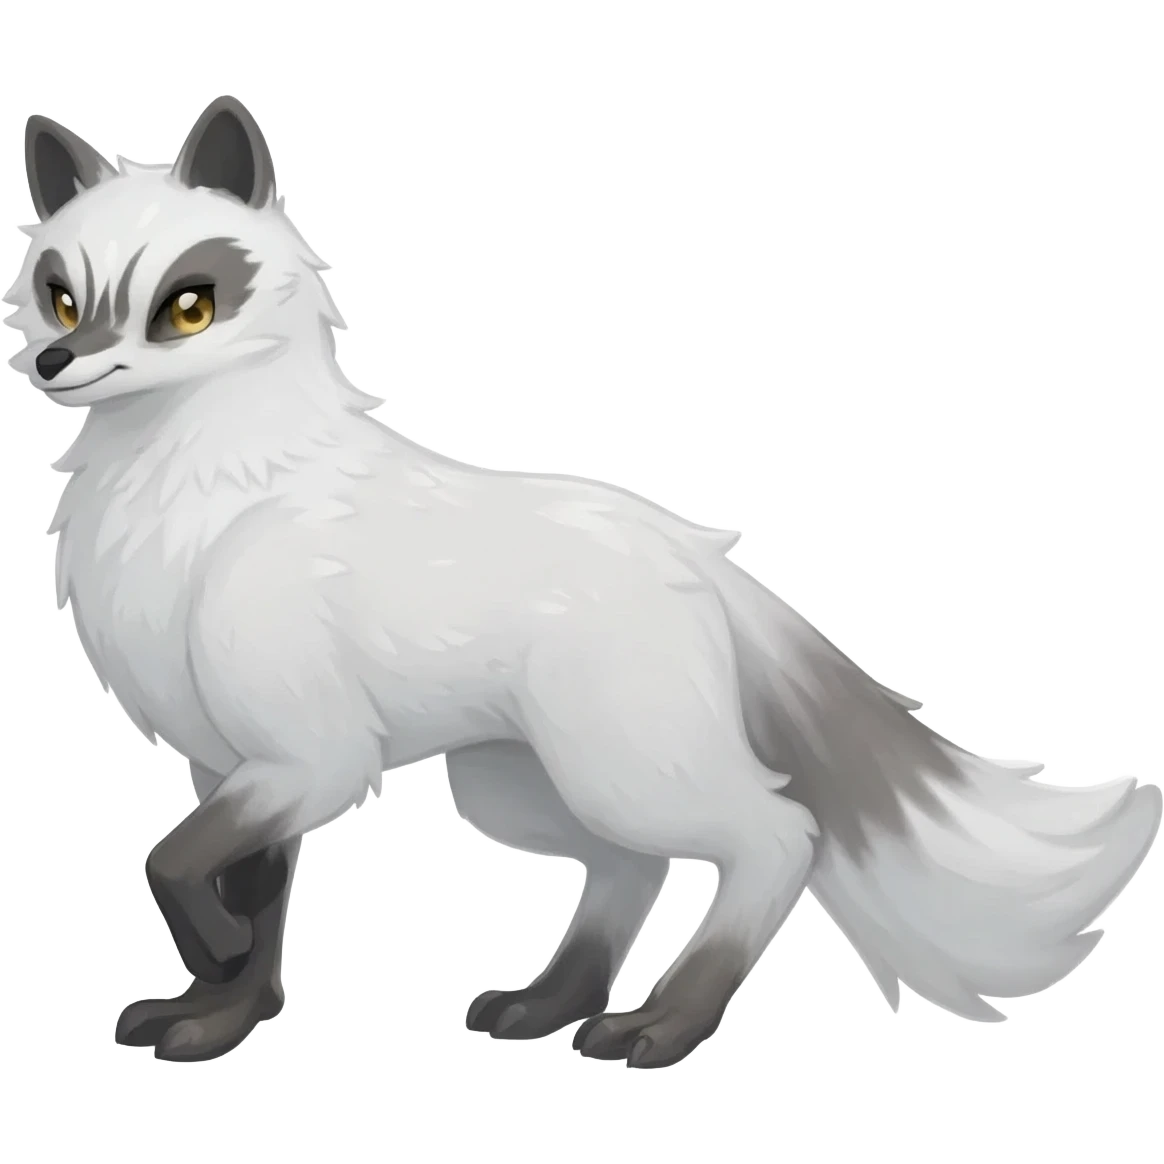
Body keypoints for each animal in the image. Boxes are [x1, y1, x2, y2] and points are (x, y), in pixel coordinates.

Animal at [6, 94, 1160, 1067]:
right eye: (59, 296)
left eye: (188, 309)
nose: (59, 364)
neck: (193, 500)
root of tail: (702, 558)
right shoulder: (228, 764)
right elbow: (246, 899)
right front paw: (221, 1015)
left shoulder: (309, 758)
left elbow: (172, 865)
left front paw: (214, 983)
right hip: (521, 785)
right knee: (627, 868)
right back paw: (552, 1004)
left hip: (615, 767)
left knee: (773, 837)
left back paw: (656, 1030)